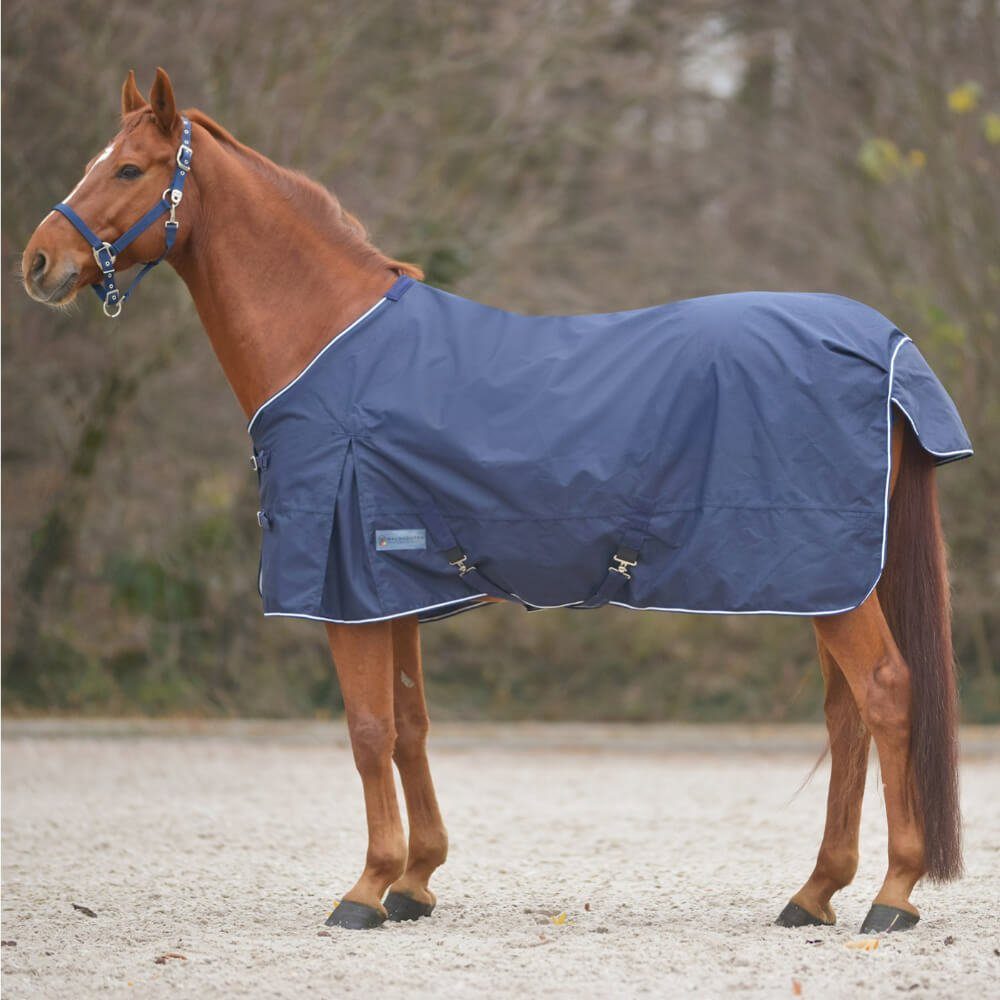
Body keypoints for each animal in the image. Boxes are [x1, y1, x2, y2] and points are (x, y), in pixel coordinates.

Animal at [22, 69, 966, 933]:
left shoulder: (347, 587)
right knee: (845, 716)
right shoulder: (392, 586)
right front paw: (415, 881)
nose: (38, 262)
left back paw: (892, 896)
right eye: (96, 161)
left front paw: (365, 889)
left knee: (886, 694)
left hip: (828, 578)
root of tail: (885, 345)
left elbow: (367, 730)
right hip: (830, 582)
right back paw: (814, 894)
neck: (330, 346)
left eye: (130, 168)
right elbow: (409, 724)